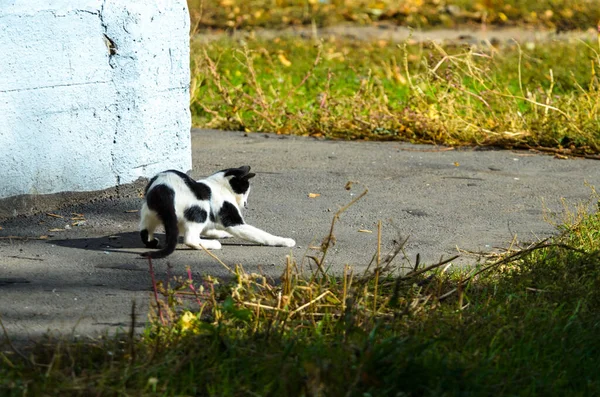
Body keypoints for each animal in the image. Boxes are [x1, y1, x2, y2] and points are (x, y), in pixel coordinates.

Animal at [141, 163, 296, 256]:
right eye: (246, 190)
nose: (246, 203)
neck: (220, 184)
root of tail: (163, 188)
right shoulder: (232, 220)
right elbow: (261, 234)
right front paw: (284, 241)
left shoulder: (212, 219)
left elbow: (209, 229)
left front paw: (222, 233)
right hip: (201, 209)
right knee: (190, 239)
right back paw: (213, 245)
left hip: (149, 213)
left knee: (144, 232)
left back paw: (152, 242)